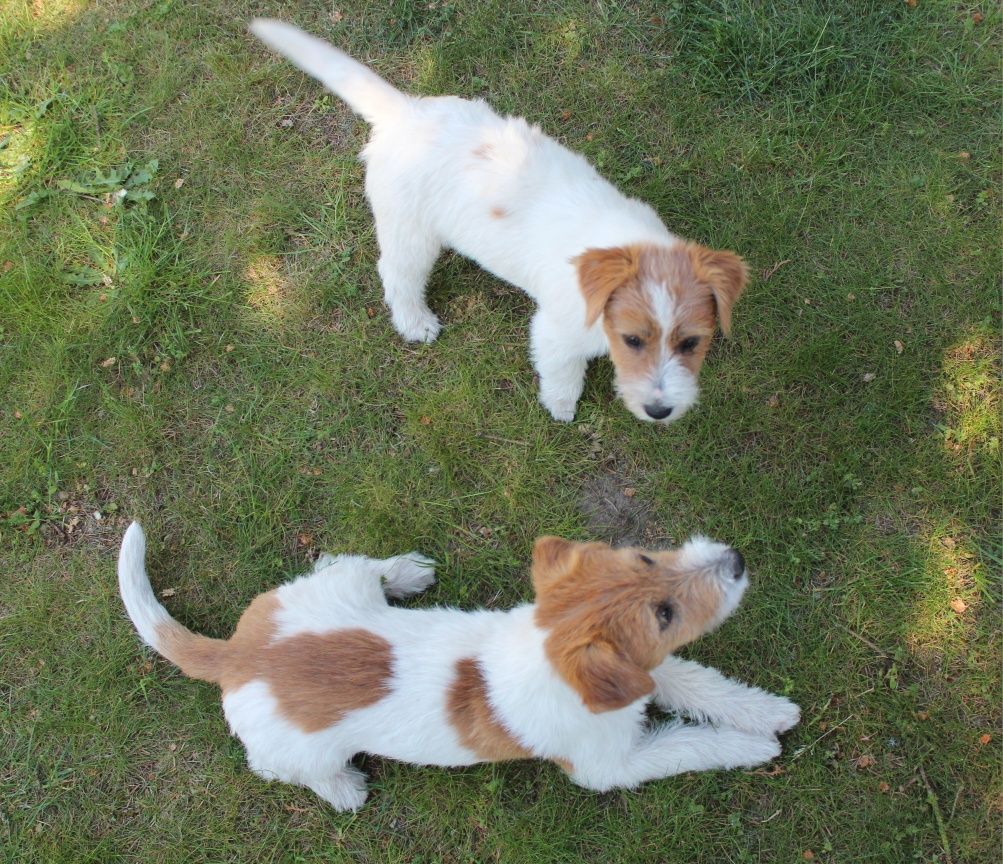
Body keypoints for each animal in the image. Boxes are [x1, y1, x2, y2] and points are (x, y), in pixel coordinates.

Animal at [117, 521, 798, 810]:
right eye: (663, 612)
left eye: (646, 560)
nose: (735, 560)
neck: (549, 654)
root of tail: (239, 654)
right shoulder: (609, 766)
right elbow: (687, 745)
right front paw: (751, 747)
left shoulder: (648, 672)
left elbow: (705, 686)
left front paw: (769, 712)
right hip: (297, 752)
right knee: (282, 769)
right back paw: (342, 790)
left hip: (332, 585)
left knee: (347, 561)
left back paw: (406, 574)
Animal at [247, 20, 750, 425]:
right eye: (632, 339)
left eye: (691, 343)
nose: (660, 411)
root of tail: (405, 112)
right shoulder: (555, 334)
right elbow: (562, 374)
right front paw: (562, 408)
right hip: (409, 231)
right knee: (396, 274)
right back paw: (415, 322)